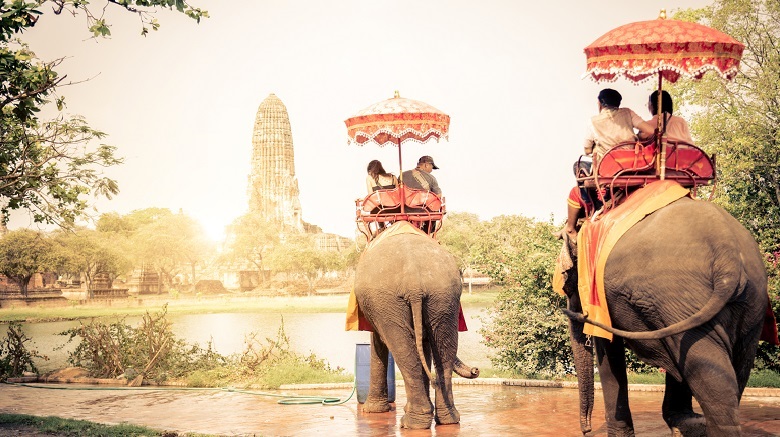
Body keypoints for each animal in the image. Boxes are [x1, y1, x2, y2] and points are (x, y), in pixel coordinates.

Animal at [354, 228, 478, 430]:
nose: (476, 370)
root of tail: (414, 283)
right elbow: (425, 344)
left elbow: (379, 341)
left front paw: (371, 411)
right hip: (443, 297)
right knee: (444, 346)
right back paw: (446, 419)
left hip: (388, 301)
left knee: (401, 347)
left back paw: (412, 423)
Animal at [556, 197, 772, 436]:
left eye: (567, 285)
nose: (586, 430)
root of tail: (728, 254)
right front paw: (685, 423)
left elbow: (608, 350)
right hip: (749, 302)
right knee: (732, 365)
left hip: (679, 295)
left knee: (709, 375)